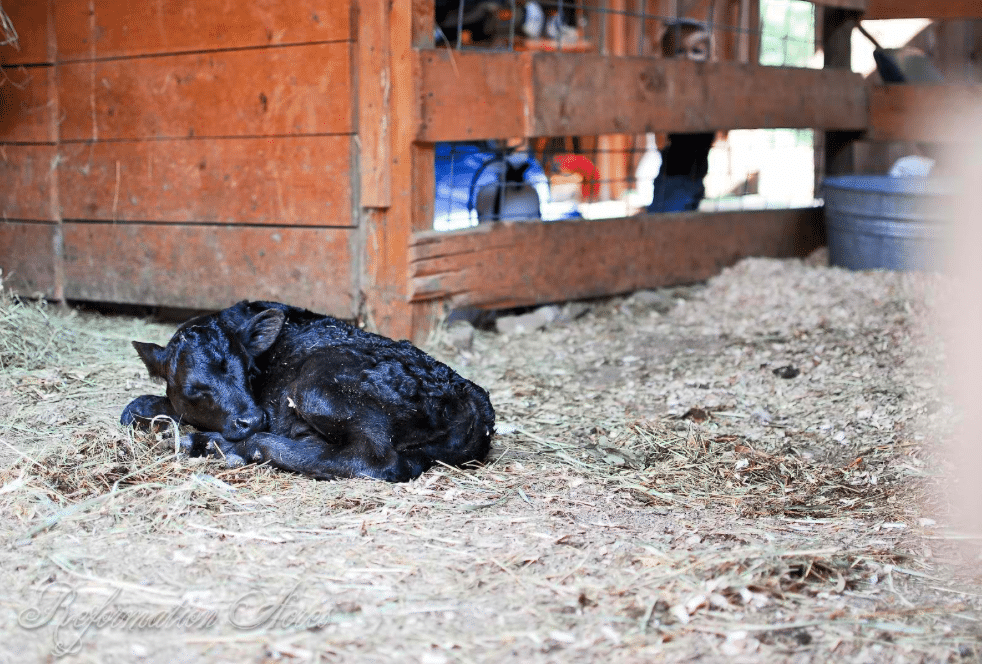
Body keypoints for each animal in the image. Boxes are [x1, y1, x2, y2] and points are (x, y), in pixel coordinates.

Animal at [121, 301, 495, 482]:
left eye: (249, 371)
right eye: (194, 389)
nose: (253, 418)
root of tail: (471, 396)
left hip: (317, 385)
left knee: (373, 460)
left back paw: (221, 445)